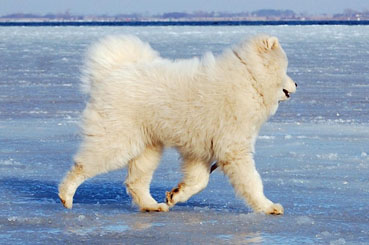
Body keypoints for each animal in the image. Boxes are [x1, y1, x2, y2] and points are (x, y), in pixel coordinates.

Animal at [59, 34, 296, 214]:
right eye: (285, 69)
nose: (296, 84)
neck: (250, 77)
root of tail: (110, 73)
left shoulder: (201, 148)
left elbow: (200, 179)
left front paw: (176, 195)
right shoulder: (233, 146)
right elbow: (251, 180)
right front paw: (268, 207)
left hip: (148, 146)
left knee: (135, 180)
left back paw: (153, 206)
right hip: (118, 140)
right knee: (84, 165)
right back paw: (66, 195)